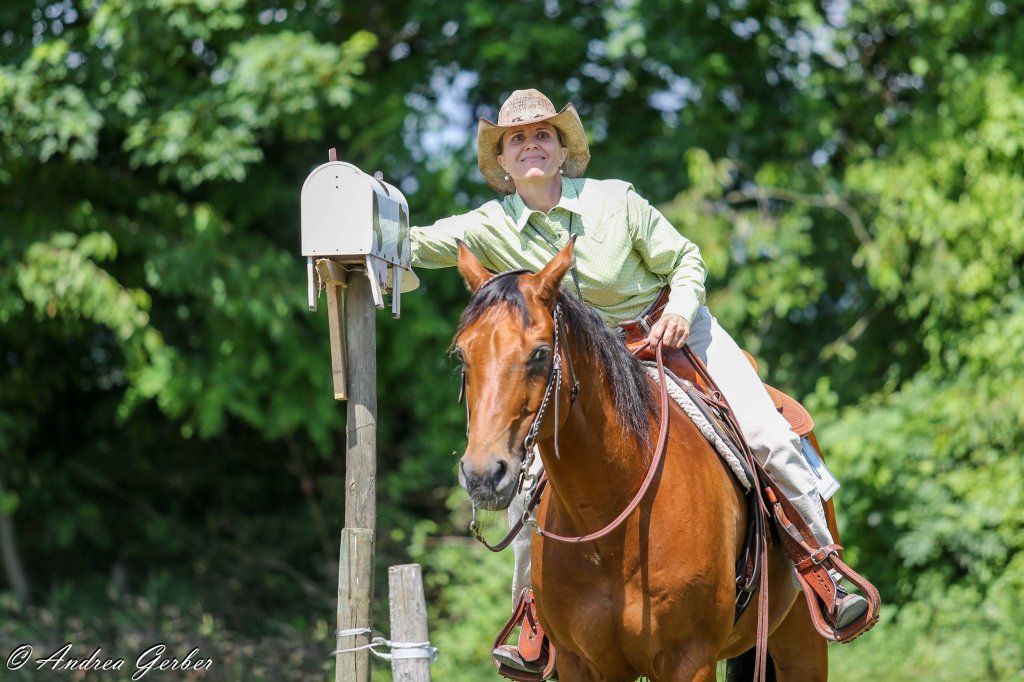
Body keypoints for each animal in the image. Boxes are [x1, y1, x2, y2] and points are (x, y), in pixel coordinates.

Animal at [452, 239, 829, 681]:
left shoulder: (690, 660)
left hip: (802, 643)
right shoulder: (582, 663)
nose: (483, 474)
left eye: (540, 354)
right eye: (461, 356)